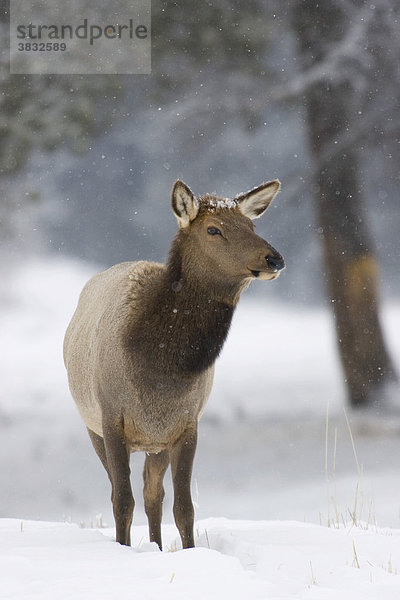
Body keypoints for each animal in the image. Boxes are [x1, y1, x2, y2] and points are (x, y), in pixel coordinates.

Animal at [63, 178, 284, 548]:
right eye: (213, 229)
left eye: (251, 226)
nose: (274, 258)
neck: (161, 366)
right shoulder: (111, 419)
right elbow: (122, 500)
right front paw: (122, 549)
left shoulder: (185, 424)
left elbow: (184, 507)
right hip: (91, 425)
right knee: (120, 491)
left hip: (156, 443)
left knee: (153, 493)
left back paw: (155, 544)